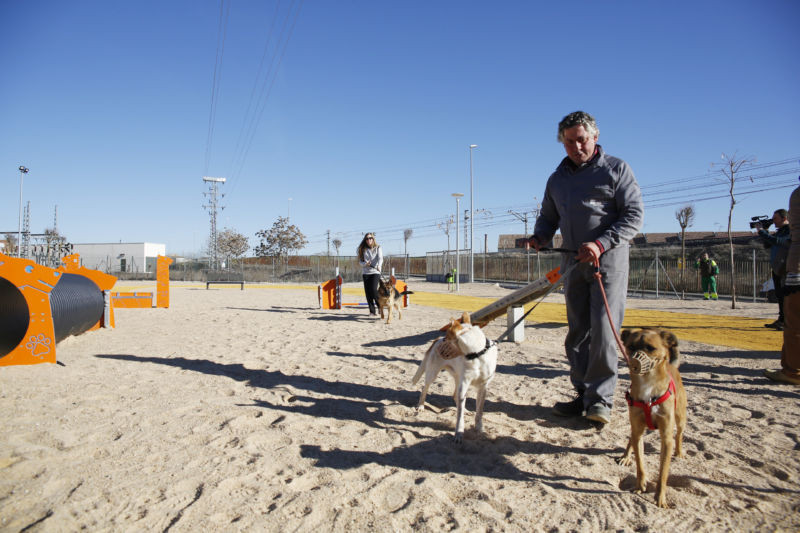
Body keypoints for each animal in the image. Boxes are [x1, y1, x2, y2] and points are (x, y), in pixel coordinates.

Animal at [412, 312, 494, 440]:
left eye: (447, 338)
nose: (442, 341)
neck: (477, 355)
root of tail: (436, 340)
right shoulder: (464, 384)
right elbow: (459, 416)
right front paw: (459, 433)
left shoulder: (483, 387)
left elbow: (479, 412)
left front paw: (479, 428)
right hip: (433, 374)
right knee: (424, 388)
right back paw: (420, 406)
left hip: (458, 378)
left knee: (455, 396)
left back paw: (466, 410)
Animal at [620, 328, 688, 508]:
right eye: (630, 346)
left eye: (650, 348)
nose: (634, 360)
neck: (647, 387)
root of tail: (672, 365)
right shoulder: (638, 429)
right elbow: (640, 464)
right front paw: (640, 485)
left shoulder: (666, 438)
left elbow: (663, 473)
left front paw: (660, 497)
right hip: (634, 424)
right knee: (631, 438)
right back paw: (625, 456)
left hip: (680, 418)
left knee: (679, 434)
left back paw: (679, 452)